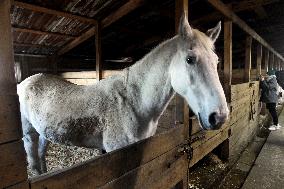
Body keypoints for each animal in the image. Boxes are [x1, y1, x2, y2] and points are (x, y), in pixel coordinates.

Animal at [17, 15, 229, 176]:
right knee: (33, 161)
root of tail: (25, 82)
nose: (219, 116)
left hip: (44, 131)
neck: (134, 103)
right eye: (190, 59)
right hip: (28, 133)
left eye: (217, 61)